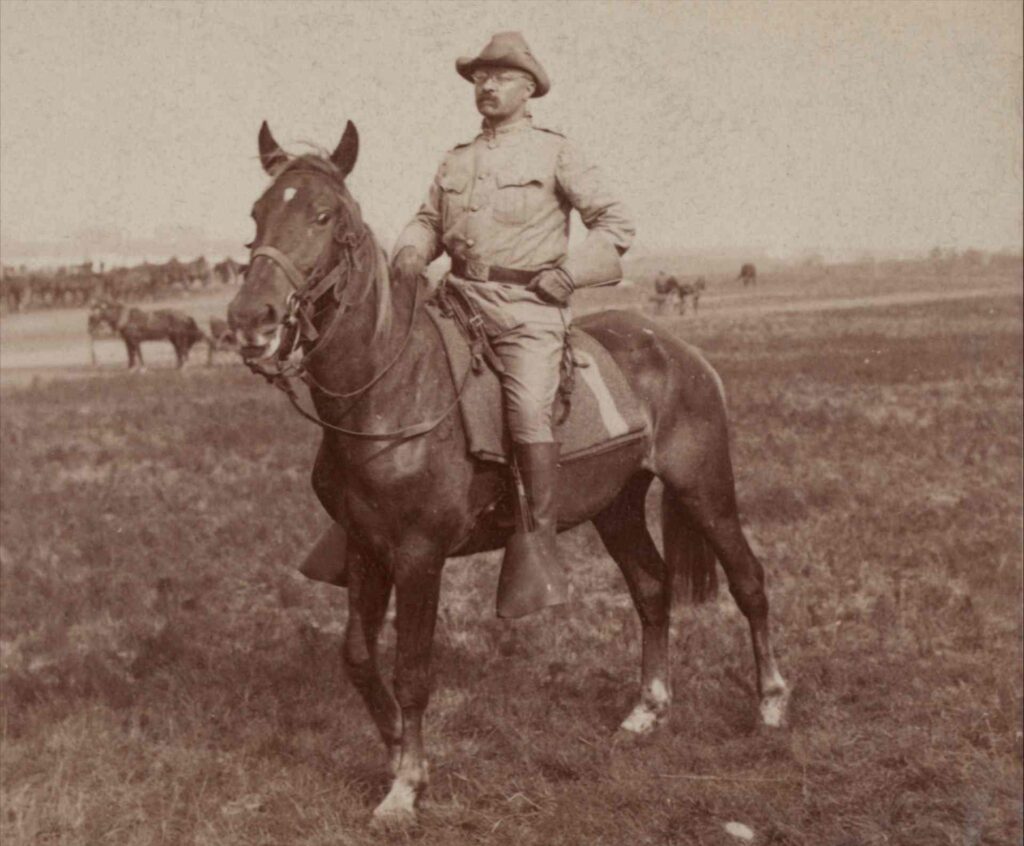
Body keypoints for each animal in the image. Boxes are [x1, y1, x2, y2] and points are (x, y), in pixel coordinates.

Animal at [227, 121, 789, 825]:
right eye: (257, 212)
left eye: (325, 216)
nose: (249, 320)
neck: (391, 389)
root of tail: (681, 351)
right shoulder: (365, 547)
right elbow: (357, 657)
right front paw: (395, 751)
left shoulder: (419, 554)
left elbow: (413, 669)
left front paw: (407, 786)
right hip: (616, 506)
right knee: (652, 588)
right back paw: (647, 710)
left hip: (705, 490)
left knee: (749, 582)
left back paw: (770, 703)